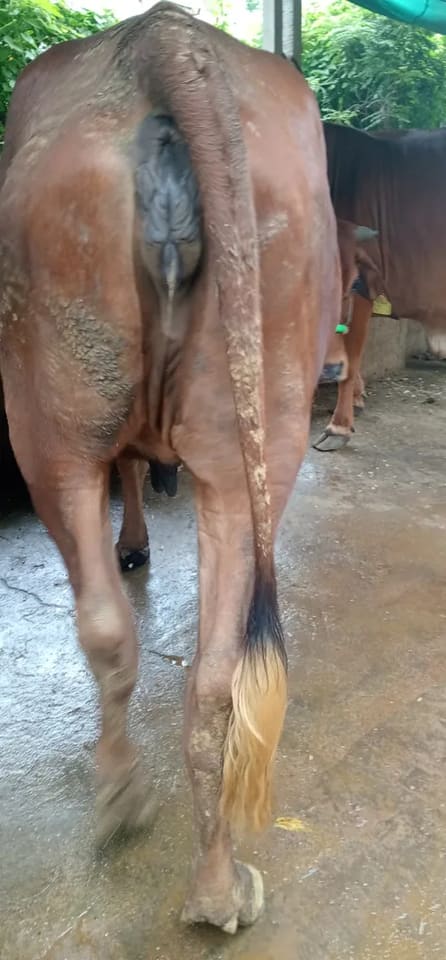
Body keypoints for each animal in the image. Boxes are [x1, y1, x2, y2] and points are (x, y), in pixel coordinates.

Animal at [0, 1, 340, 932]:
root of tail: (162, 42)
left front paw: (135, 538)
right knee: (211, 672)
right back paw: (215, 881)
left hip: (52, 413)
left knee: (128, 636)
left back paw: (134, 811)